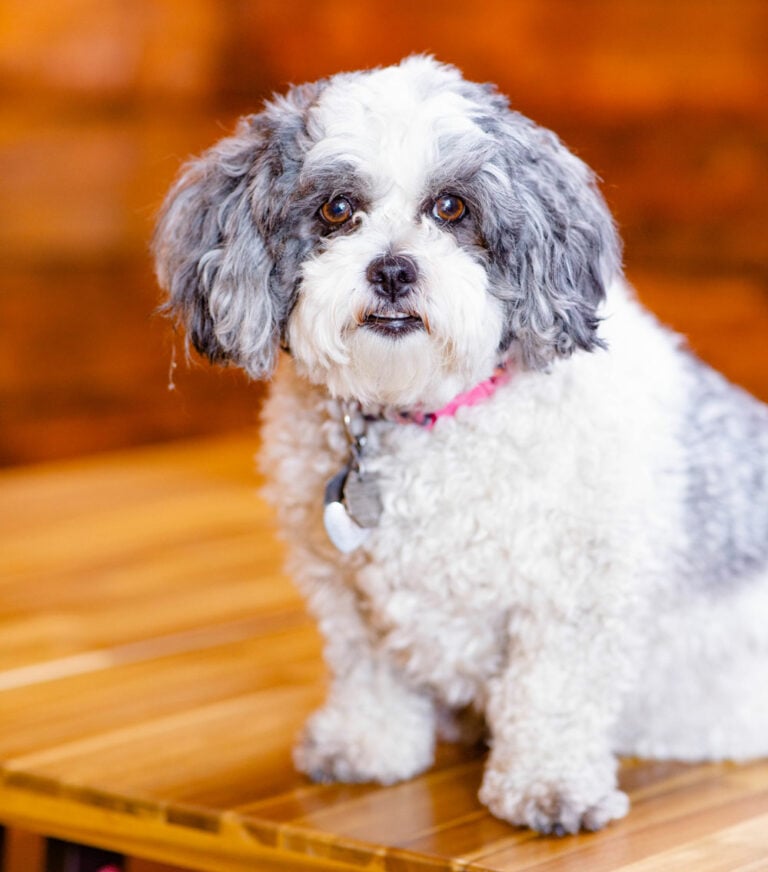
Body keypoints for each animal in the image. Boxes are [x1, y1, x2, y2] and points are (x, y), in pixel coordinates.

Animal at [154, 58, 768, 836]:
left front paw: (547, 787)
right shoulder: (342, 589)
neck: (417, 419)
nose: (393, 269)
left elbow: (550, 693)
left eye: (451, 208)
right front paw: (367, 746)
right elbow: (367, 673)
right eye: (337, 210)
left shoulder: (575, 597)